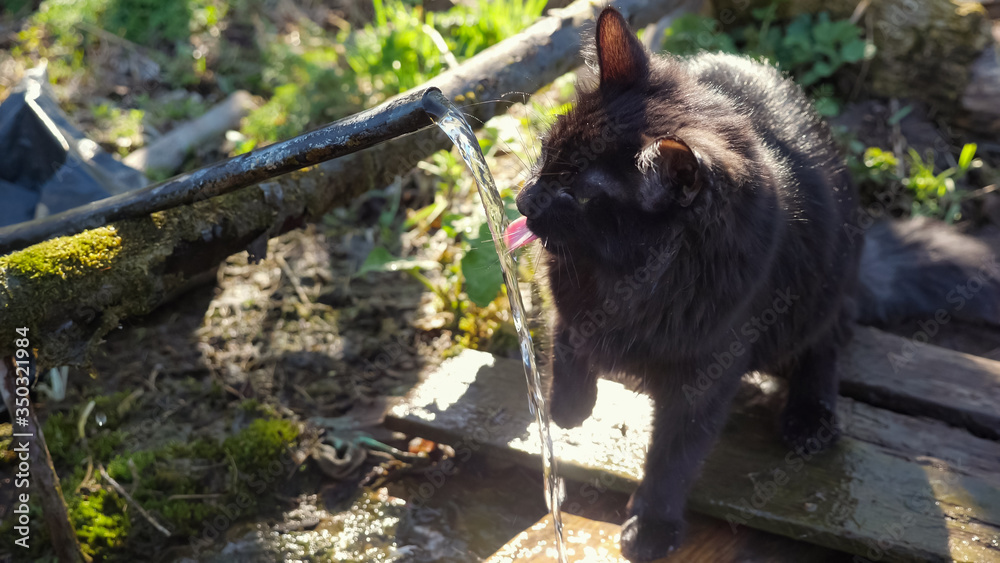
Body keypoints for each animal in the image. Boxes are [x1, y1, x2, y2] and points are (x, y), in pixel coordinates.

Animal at [504, 6, 1000, 560]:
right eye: (548, 151)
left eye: (578, 194)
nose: (524, 198)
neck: (628, 277)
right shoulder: (566, 302)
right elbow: (566, 344)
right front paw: (567, 409)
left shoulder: (708, 372)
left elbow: (673, 457)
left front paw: (651, 524)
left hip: (821, 299)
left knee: (827, 347)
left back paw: (810, 418)